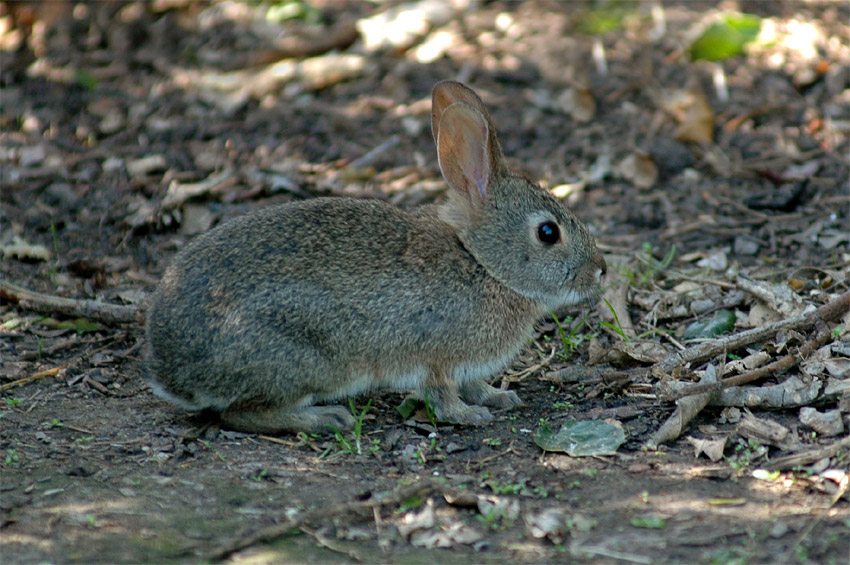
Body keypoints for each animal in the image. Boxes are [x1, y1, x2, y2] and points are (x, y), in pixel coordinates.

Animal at [144, 80, 604, 432]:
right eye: (548, 233)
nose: (600, 271)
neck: (481, 263)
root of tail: (172, 368)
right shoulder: (435, 356)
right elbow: (442, 395)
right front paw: (469, 416)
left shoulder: (466, 365)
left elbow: (474, 385)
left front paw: (498, 398)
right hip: (304, 358)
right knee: (241, 414)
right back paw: (326, 419)